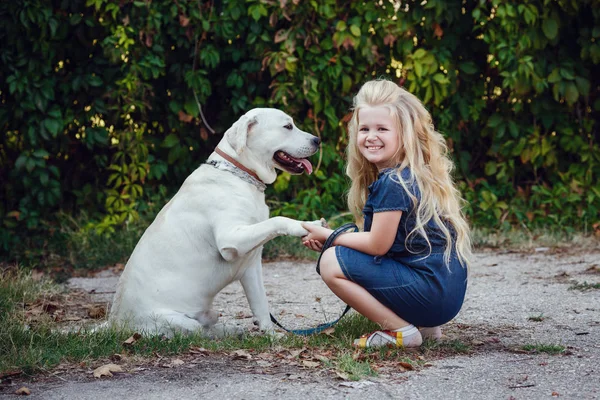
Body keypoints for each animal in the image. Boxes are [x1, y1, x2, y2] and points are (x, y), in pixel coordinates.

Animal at [108, 108, 324, 336]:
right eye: (288, 126)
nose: (318, 140)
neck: (240, 174)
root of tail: (114, 324)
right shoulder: (231, 239)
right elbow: (276, 220)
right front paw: (304, 225)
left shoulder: (252, 267)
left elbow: (262, 306)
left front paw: (272, 337)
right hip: (176, 322)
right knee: (201, 333)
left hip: (210, 312)